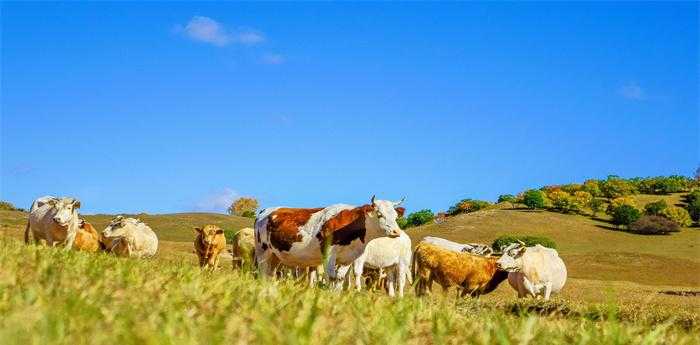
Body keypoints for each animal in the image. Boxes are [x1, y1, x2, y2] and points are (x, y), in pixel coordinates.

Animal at [253, 195, 404, 286]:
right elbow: (331, 277)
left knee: (270, 275)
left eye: (396, 216)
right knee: (263, 272)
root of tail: (265, 211)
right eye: (379, 214)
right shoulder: (329, 254)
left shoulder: (348, 258)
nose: (396, 232)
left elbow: (340, 278)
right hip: (262, 252)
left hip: (275, 256)